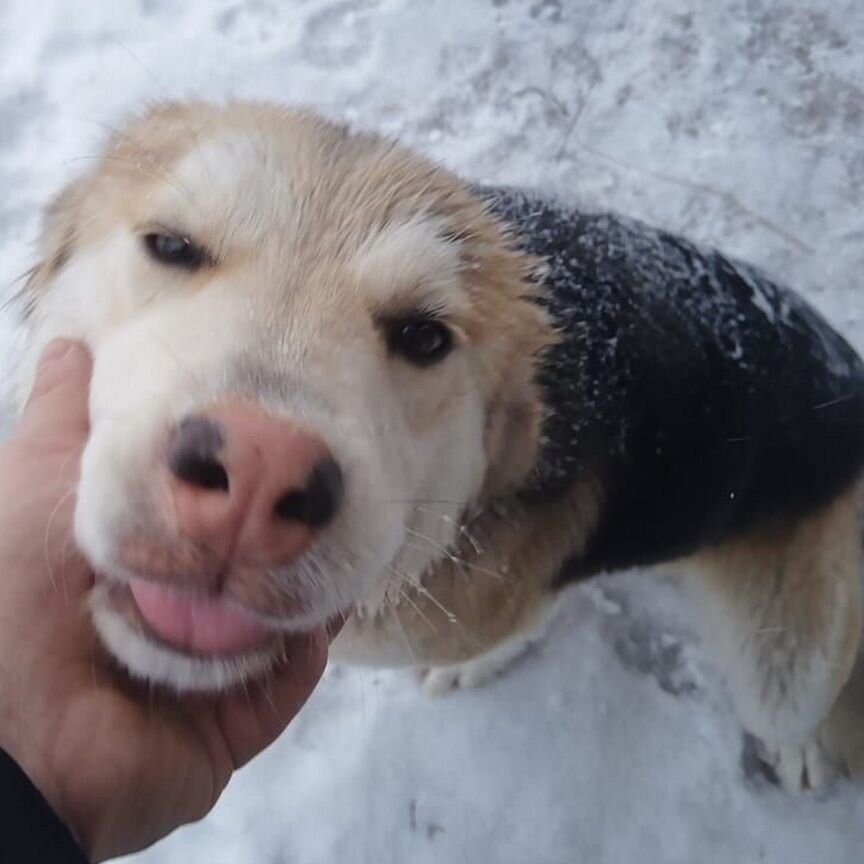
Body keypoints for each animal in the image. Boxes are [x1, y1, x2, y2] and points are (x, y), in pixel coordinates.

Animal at [11, 99, 864, 788]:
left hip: (787, 659)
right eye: (173, 245)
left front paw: (479, 661)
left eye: (425, 336)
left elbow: (517, 624)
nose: (256, 473)